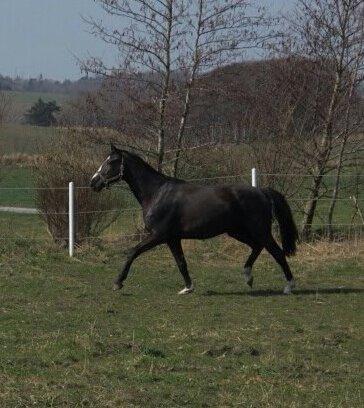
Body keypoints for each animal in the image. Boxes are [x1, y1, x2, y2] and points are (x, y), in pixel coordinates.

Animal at [89, 145, 298, 294]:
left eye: (111, 162)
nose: (93, 183)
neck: (157, 193)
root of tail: (262, 191)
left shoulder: (158, 235)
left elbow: (132, 252)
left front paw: (118, 283)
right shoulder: (172, 238)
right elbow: (181, 263)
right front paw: (188, 288)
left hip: (259, 230)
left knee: (277, 253)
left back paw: (289, 286)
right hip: (237, 231)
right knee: (257, 247)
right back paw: (248, 277)